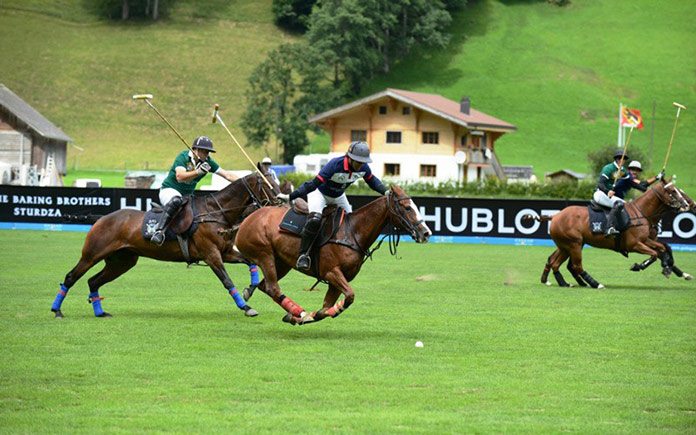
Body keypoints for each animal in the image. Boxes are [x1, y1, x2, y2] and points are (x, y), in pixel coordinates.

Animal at [51, 171, 280, 320]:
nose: (280, 202)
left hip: (122, 261)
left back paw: (99, 312)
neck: (216, 212)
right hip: (92, 254)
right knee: (71, 277)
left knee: (93, 281)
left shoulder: (225, 252)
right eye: (268, 185)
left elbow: (250, 262)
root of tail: (101, 218)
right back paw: (57, 311)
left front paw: (249, 290)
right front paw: (246, 307)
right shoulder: (211, 255)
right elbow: (227, 281)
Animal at [232, 186, 430, 326]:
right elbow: (349, 296)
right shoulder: (331, 272)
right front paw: (310, 315)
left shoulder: (339, 279)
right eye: (407, 208)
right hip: (264, 254)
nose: (426, 233)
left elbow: (328, 306)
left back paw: (293, 313)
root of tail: (248, 217)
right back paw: (300, 312)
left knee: (265, 286)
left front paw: (312, 315)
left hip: (282, 262)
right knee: (273, 288)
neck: (352, 232)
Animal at [532, 181, 692, 290]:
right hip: (574, 244)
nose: (687, 204)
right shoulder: (634, 244)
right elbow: (654, 254)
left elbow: (664, 248)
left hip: (567, 245)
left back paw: (562, 282)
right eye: (673, 191)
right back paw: (595, 284)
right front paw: (638, 266)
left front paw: (670, 268)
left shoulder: (646, 240)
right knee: (576, 265)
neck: (642, 213)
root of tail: (555, 216)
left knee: (555, 262)